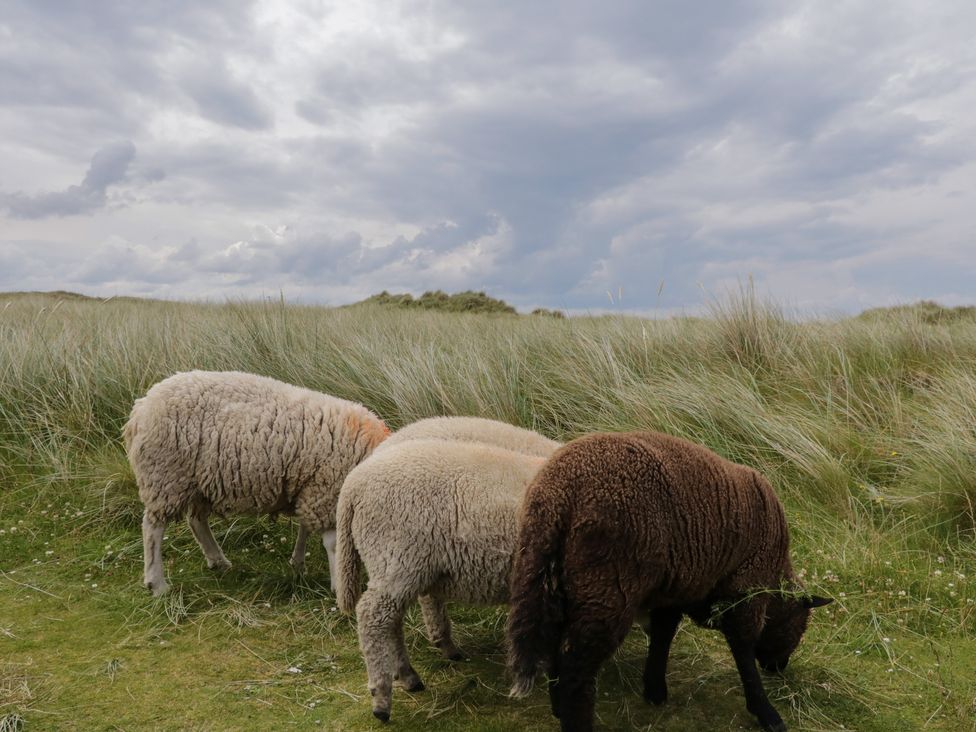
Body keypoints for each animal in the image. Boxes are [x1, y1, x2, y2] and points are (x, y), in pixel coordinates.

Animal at [124, 372, 390, 596]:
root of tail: (140, 408)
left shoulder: (308, 487)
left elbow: (305, 528)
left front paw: (297, 562)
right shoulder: (326, 490)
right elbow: (333, 544)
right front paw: (339, 587)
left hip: (198, 482)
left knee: (196, 521)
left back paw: (218, 561)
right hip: (164, 477)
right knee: (152, 528)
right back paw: (157, 583)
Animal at [336, 438, 548, 724]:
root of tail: (353, 484)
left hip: (399, 566)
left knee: (391, 620)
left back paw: (408, 676)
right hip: (396, 556)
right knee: (373, 617)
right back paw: (381, 698)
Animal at [504, 432, 832, 732]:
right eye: (801, 626)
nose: (779, 667)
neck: (775, 574)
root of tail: (560, 496)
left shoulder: (675, 588)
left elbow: (664, 634)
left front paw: (655, 689)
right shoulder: (746, 590)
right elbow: (743, 652)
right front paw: (767, 713)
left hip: (553, 575)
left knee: (556, 646)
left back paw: (558, 707)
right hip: (608, 587)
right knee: (576, 668)